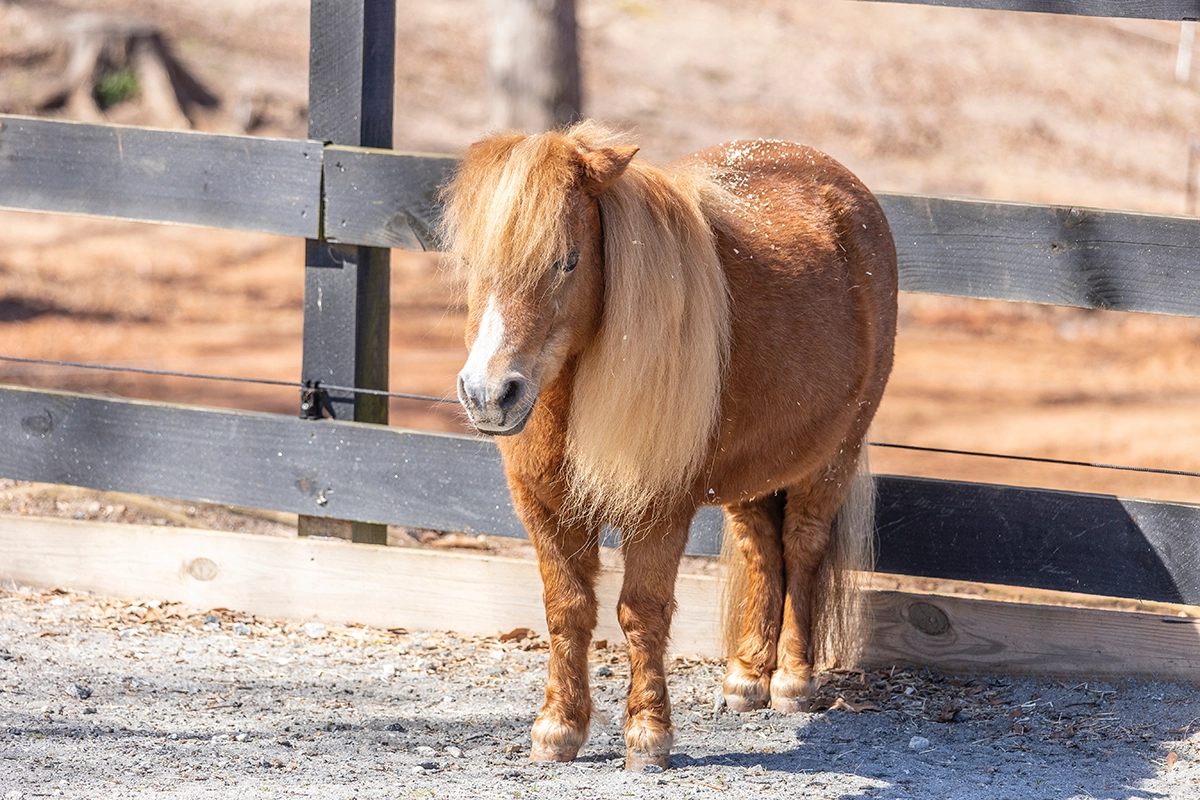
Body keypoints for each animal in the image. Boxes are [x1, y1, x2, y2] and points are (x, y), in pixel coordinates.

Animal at [442, 121, 897, 771]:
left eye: (567, 261)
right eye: (473, 260)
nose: (488, 393)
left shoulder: (658, 509)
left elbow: (641, 613)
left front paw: (647, 735)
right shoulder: (542, 507)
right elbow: (567, 610)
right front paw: (558, 729)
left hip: (832, 458)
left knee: (803, 548)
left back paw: (792, 680)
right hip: (754, 475)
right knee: (763, 551)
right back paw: (747, 677)